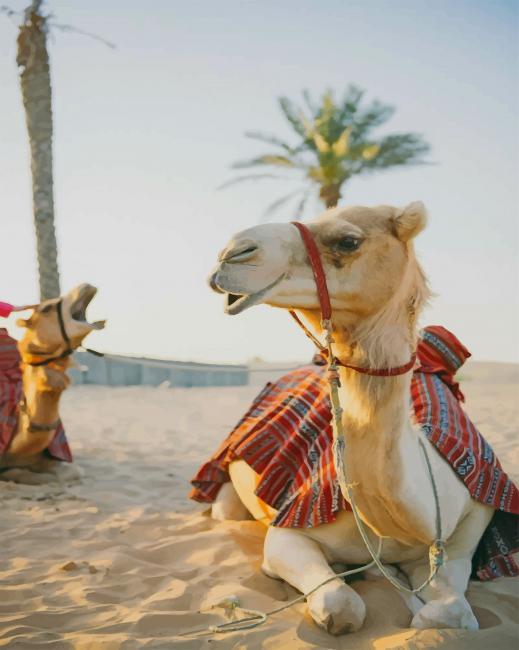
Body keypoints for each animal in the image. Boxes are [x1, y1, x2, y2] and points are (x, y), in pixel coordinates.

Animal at [207, 203, 497, 634]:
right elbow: (342, 605)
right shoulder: (288, 531)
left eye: (348, 240)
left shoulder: (468, 531)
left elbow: (449, 613)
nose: (230, 254)